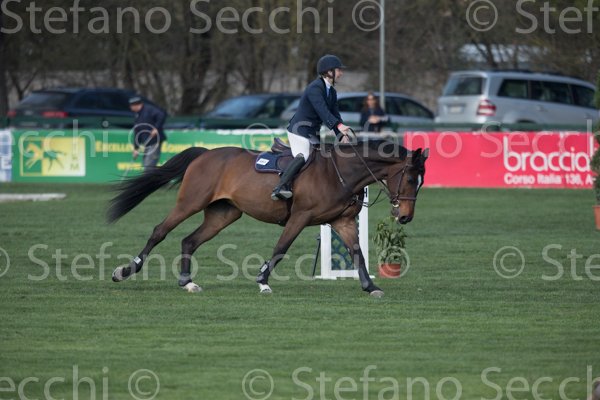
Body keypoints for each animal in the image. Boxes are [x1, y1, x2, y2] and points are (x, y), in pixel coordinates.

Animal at [107, 139, 428, 297]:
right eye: (410, 178)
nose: (405, 217)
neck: (341, 174)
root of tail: (205, 154)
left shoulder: (344, 222)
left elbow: (357, 253)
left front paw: (371, 287)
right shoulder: (300, 216)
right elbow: (281, 249)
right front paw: (262, 281)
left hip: (223, 214)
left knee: (189, 240)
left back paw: (187, 282)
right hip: (190, 202)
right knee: (159, 231)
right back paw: (124, 271)